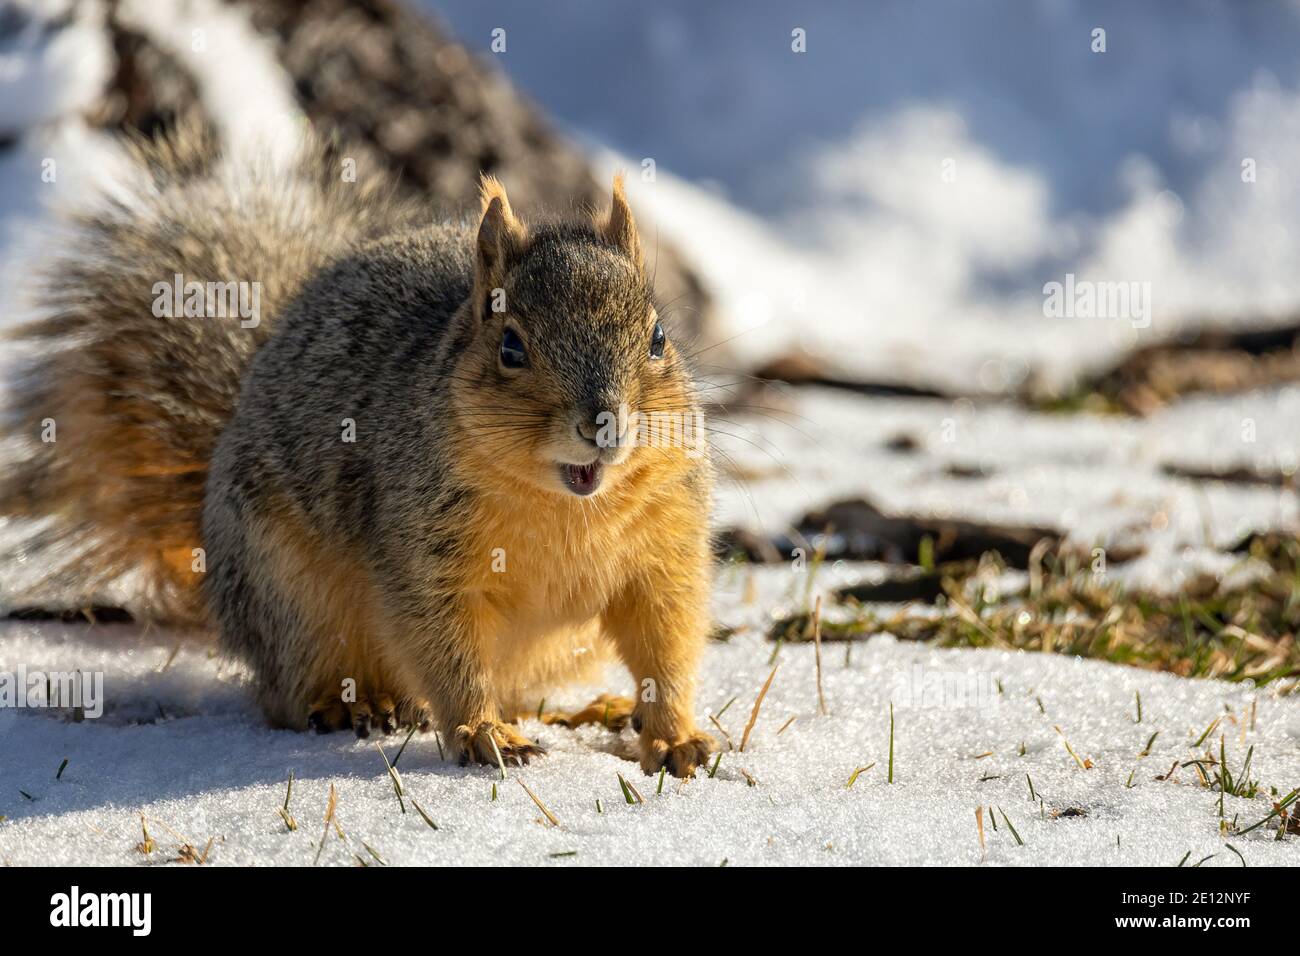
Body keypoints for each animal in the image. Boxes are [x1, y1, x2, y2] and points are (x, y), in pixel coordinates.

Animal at [1, 127, 718, 777]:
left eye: (658, 338)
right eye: (511, 346)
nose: (605, 424)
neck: (566, 507)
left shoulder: (664, 553)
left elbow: (666, 644)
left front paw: (675, 736)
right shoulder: (421, 554)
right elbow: (445, 648)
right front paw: (482, 733)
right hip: (289, 591)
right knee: (286, 690)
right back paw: (350, 705)